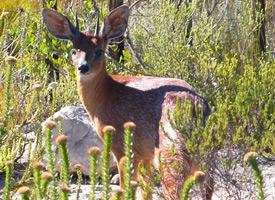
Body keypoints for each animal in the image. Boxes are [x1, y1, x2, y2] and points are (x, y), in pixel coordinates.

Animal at [43, 4, 215, 200]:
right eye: (74, 51)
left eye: (99, 51)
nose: (83, 67)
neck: (106, 96)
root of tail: (197, 109)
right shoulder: (145, 153)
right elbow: (146, 190)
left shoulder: (123, 147)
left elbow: (126, 187)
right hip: (206, 158)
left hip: (170, 152)